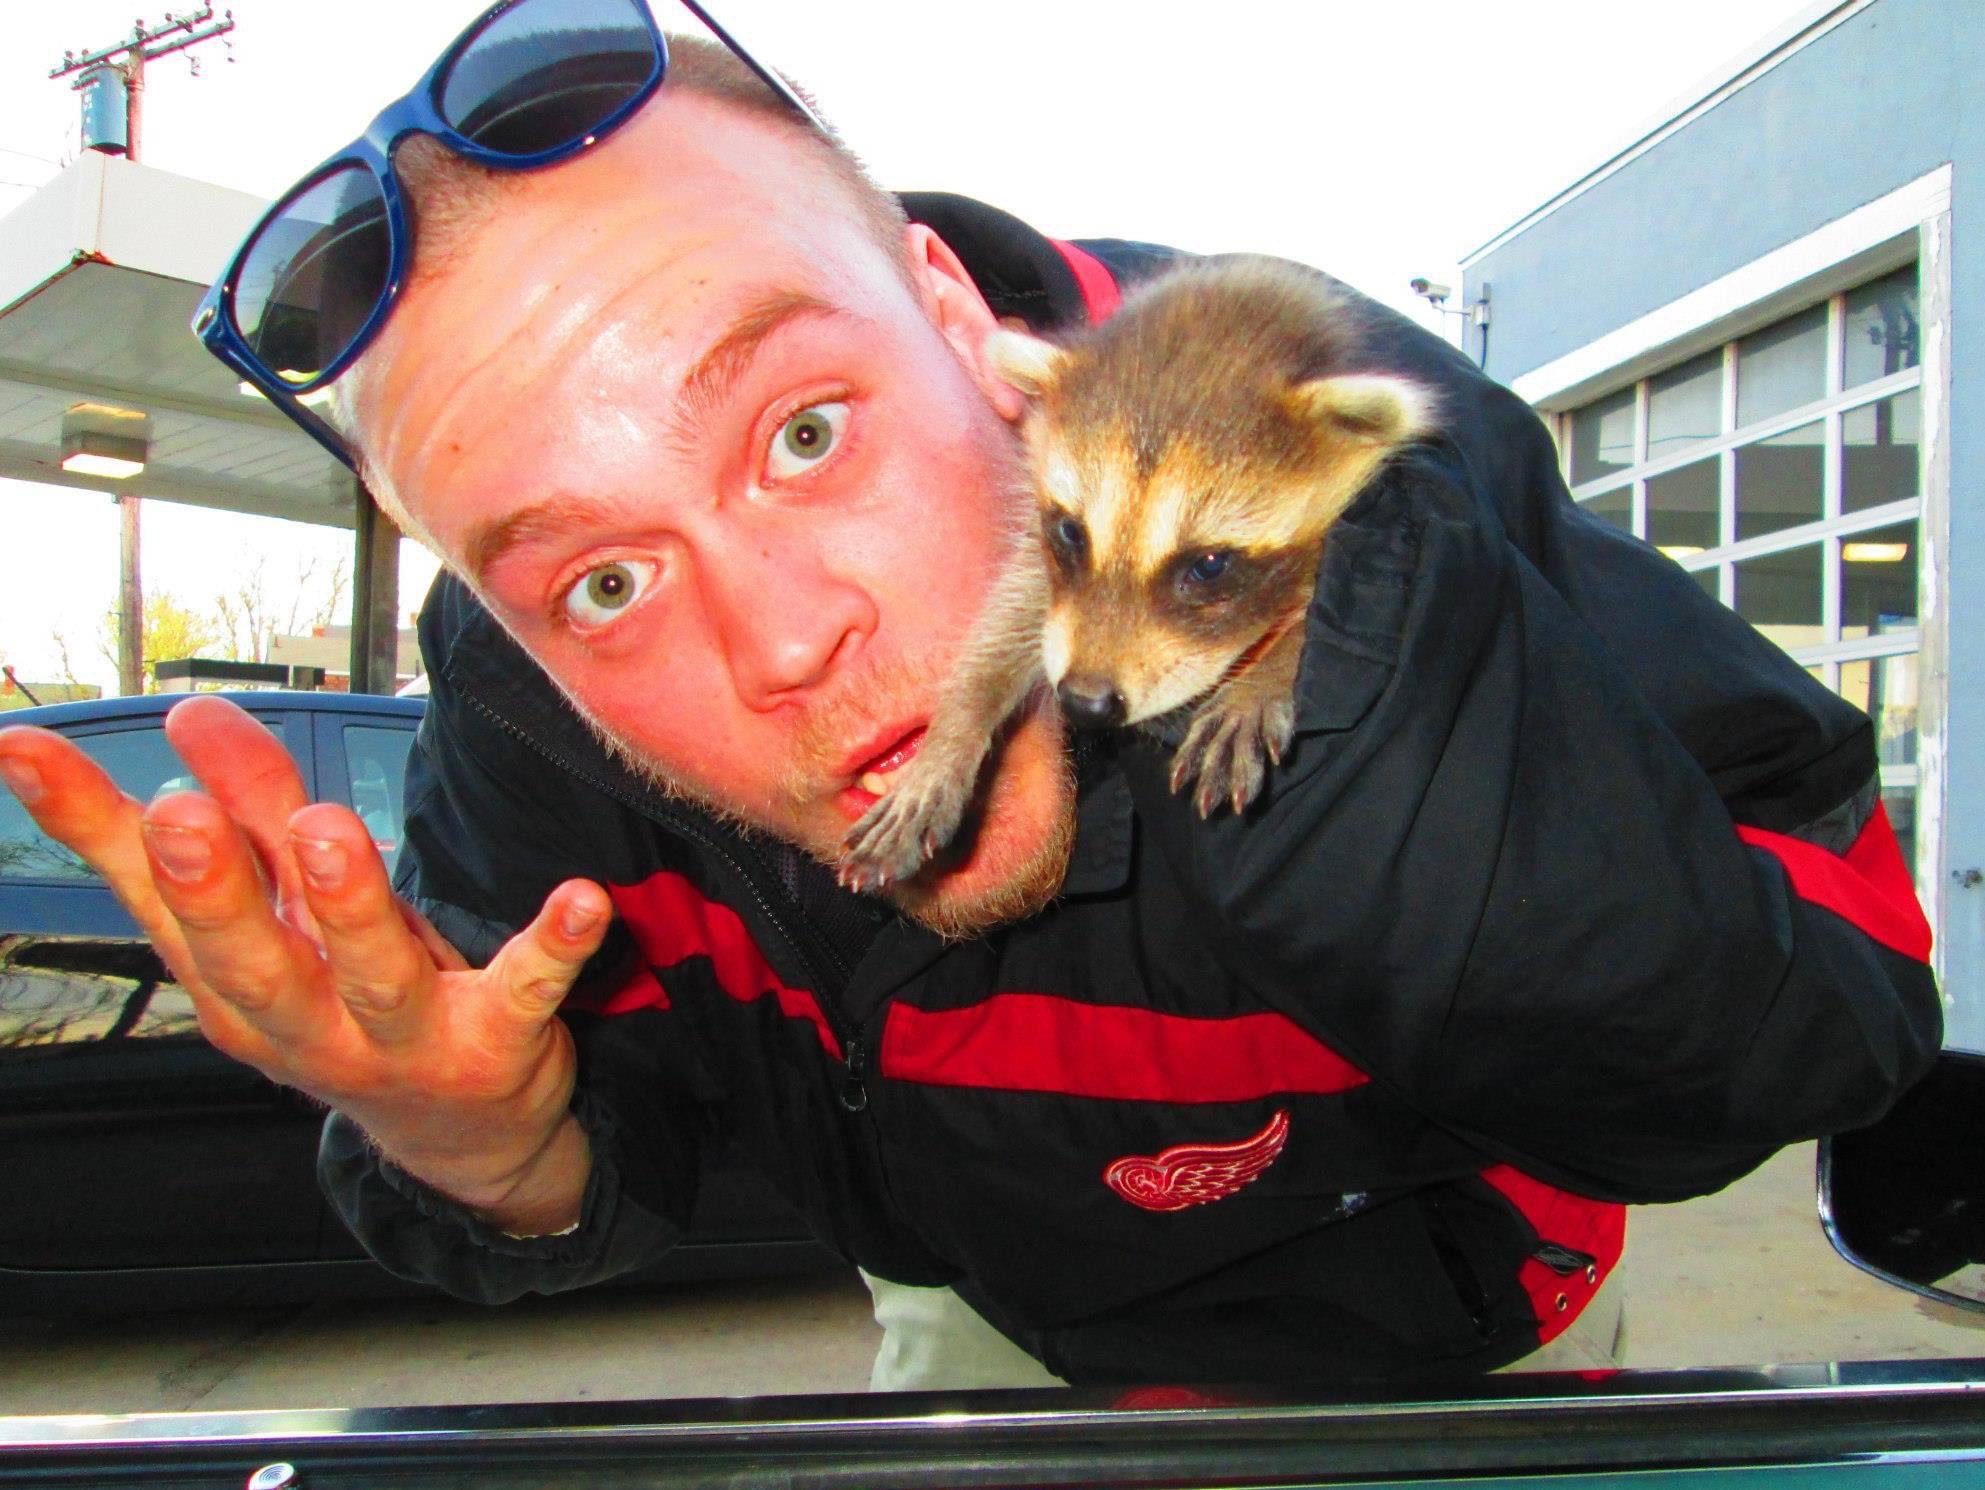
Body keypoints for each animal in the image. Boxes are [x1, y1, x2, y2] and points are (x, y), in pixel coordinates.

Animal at [838, 255, 1435, 892]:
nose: (1085, 703)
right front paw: (954, 731)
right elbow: (1019, 609)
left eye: (1208, 566)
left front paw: (1272, 669)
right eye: (1072, 533)